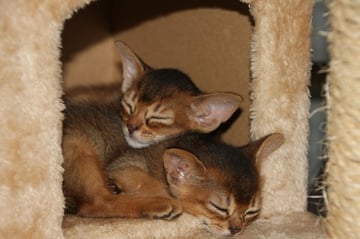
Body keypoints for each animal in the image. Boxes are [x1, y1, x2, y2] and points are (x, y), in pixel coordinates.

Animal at [62, 42, 242, 218]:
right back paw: (158, 203)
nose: (131, 127)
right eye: (129, 106)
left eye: (158, 118)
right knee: (97, 204)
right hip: (78, 145)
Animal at [106, 134, 284, 236]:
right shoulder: (123, 164)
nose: (236, 230)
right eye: (220, 208)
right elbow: (143, 180)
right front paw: (164, 200)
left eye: (251, 211)